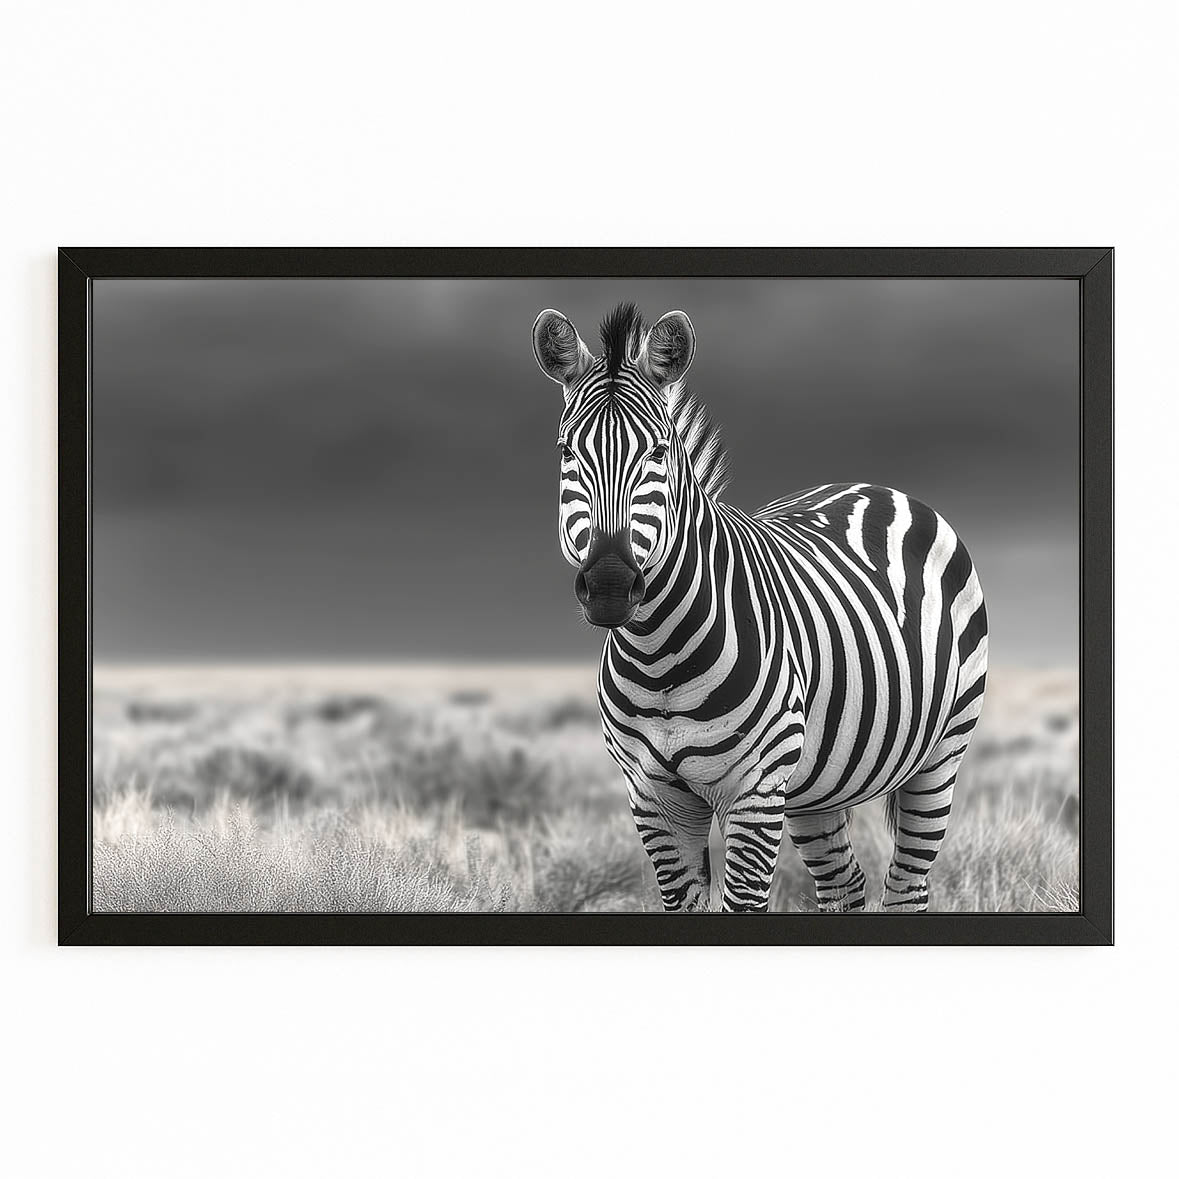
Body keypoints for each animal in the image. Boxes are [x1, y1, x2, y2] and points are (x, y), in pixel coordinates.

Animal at [532, 302, 988, 914]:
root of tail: (877, 488)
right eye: (567, 453)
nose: (609, 586)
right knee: (845, 886)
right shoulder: (651, 797)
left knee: (906, 888)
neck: (659, 658)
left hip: (941, 757)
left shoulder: (756, 790)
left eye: (658, 452)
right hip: (819, 785)